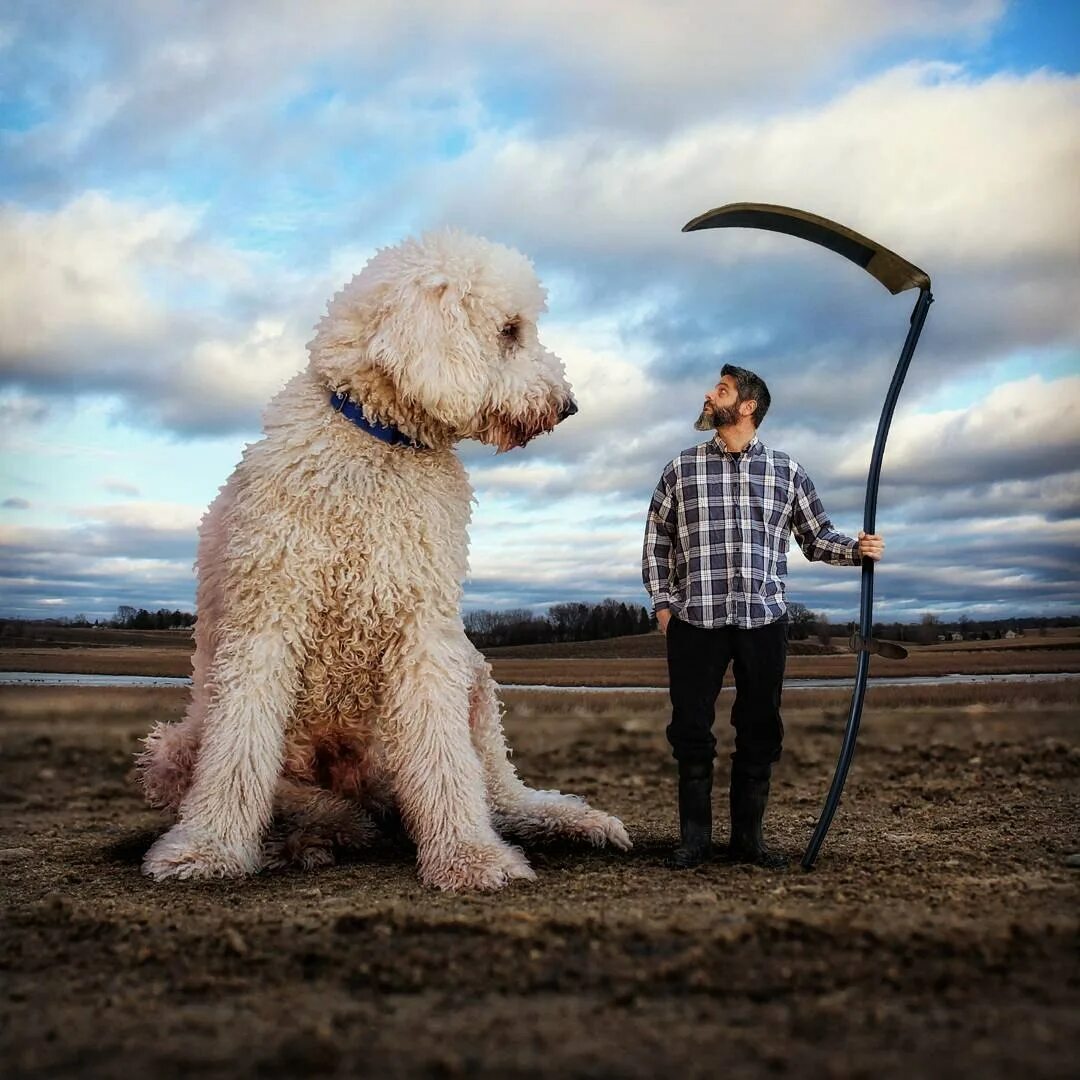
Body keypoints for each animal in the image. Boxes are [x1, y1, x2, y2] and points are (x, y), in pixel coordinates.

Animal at [142, 227, 630, 885]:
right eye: (509, 331)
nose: (568, 405)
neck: (379, 445)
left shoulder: (422, 627)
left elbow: (446, 762)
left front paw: (469, 856)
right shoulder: (266, 621)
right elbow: (238, 750)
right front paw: (207, 848)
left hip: (472, 677)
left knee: (496, 791)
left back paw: (564, 820)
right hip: (174, 747)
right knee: (302, 798)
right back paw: (315, 832)